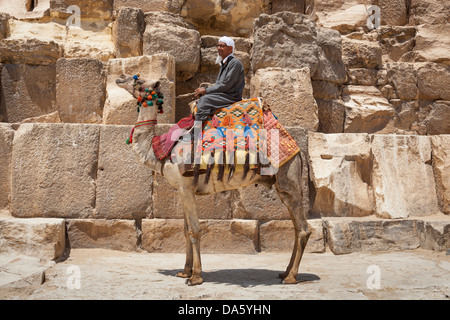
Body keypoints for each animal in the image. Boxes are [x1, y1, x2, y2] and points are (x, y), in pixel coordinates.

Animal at [116, 74, 312, 284]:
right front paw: (184, 271)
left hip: (289, 177)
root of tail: (297, 149)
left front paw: (195, 276)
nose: (120, 78)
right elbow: (185, 230)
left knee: (303, 229)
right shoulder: (183, 190)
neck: (161, 150)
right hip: (284, 187)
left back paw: (291, 277)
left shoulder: (186, 188)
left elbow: (194, 230)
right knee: (296, 227)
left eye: (139, 82)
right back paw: (285, 272)